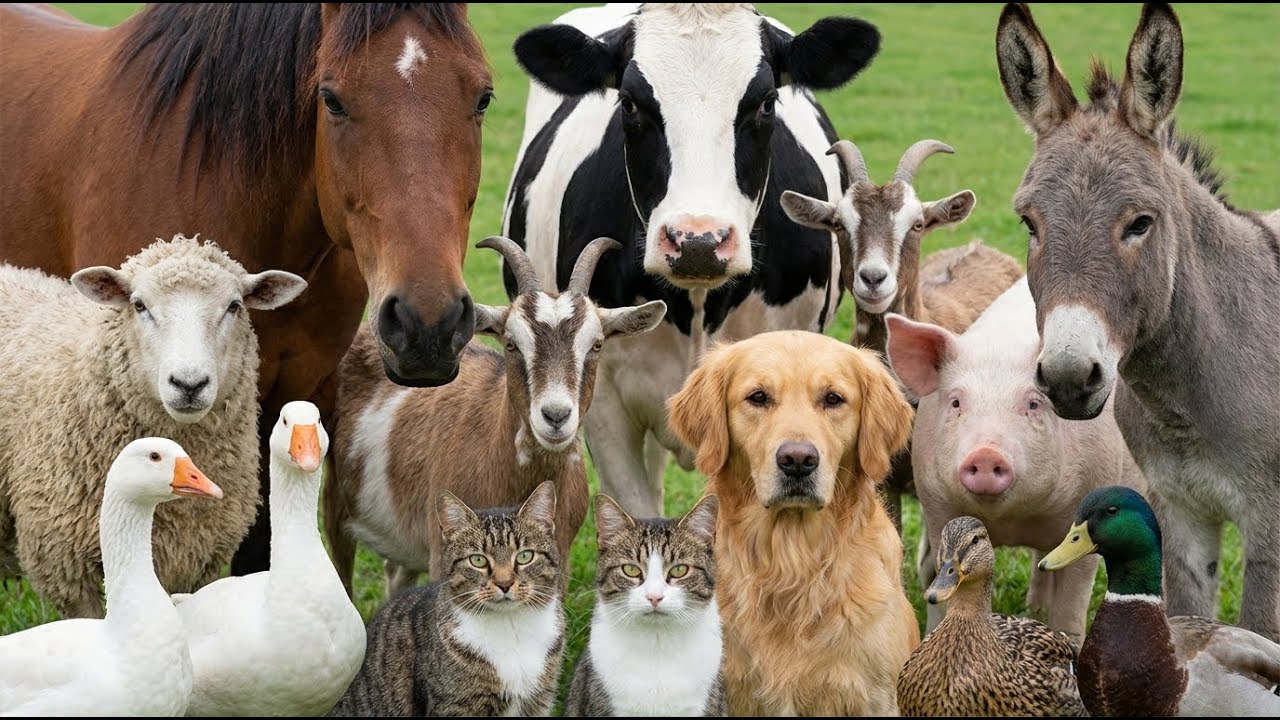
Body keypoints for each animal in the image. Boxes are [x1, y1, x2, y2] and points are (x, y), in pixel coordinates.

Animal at [996, 3, 1280, 640]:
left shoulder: (1269, 523)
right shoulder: (1179, 513)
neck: (1180, 409)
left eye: (1141, 224)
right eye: (1028, 223)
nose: (1069, 378)